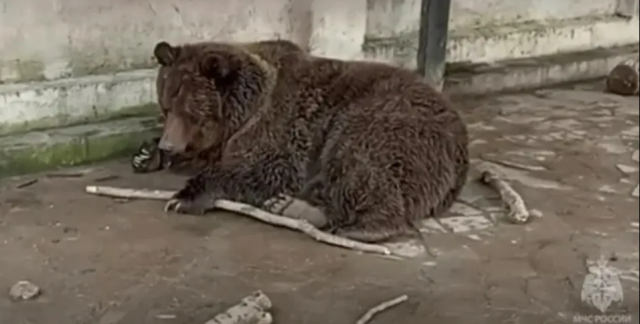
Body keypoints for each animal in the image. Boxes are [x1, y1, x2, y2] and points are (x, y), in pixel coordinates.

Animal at [152, 38, 468, 243]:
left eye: (188, 111)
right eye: (166, 106)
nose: (168, 144)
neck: (244, 110)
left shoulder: (279, 128)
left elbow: (263, 167)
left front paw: (184, 197)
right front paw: (152, 156)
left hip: (384, 121)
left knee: (359, 163)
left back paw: (360, 226)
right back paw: (289, 205)